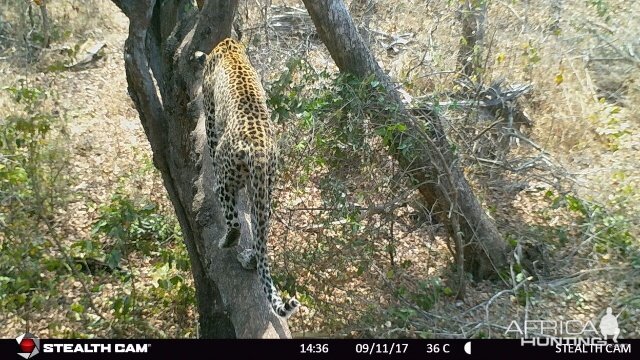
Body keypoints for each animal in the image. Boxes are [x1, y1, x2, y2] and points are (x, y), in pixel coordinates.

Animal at [195, 37, 300, 318]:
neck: (229, 47)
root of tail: (260, 150)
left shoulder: (210, 112)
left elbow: (210, 142)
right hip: (265, 189)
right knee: (261, 231)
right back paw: (251, 258)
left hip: (228, 180)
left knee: (234, 221)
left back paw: (227, 241)